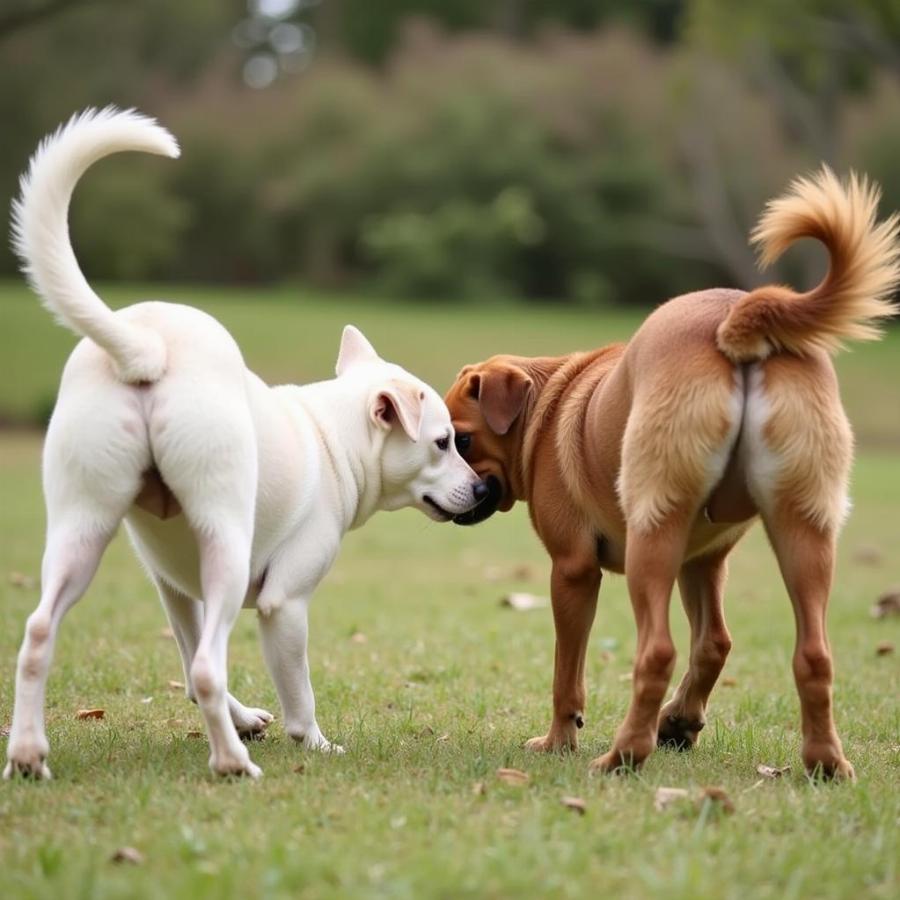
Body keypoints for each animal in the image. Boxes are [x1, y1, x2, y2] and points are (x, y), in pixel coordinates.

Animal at [5, 107, 486, 780]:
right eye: (444, 442)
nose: (484, 488)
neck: (330, 437)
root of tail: (146, 346)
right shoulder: (284, 603)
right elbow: (291, 693)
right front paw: (313, 743)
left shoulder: (177, 591)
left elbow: (184, 671)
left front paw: (244, 719)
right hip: (226, 547)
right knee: (209, 665)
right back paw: (233, 764)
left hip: (80, 533)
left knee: (40, 635)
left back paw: (28, 755)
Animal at [446, 171, 896, 780]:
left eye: (460, 439)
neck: (548, 402)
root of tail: (737, 316)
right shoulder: (703, 562)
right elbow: (715, 645)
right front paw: (682, 721)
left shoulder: (573, 571)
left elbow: (568, 673)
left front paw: (560, 739)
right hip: (802, 531)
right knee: (811, 655)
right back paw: (822, 761)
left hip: (652, 536)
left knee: (656, 651)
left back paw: (624, 754)